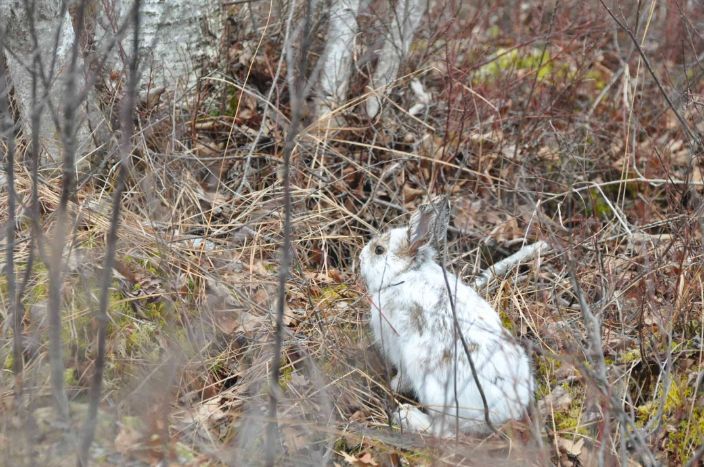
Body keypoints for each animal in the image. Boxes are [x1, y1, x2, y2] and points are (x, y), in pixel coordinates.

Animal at [364, 196, 532, 436]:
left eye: (379, 250)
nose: (360, 256)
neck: (403, 274)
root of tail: (506, 412)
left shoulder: (396, 344)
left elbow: (402, 376)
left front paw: (393, 386)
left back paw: (407, 416)